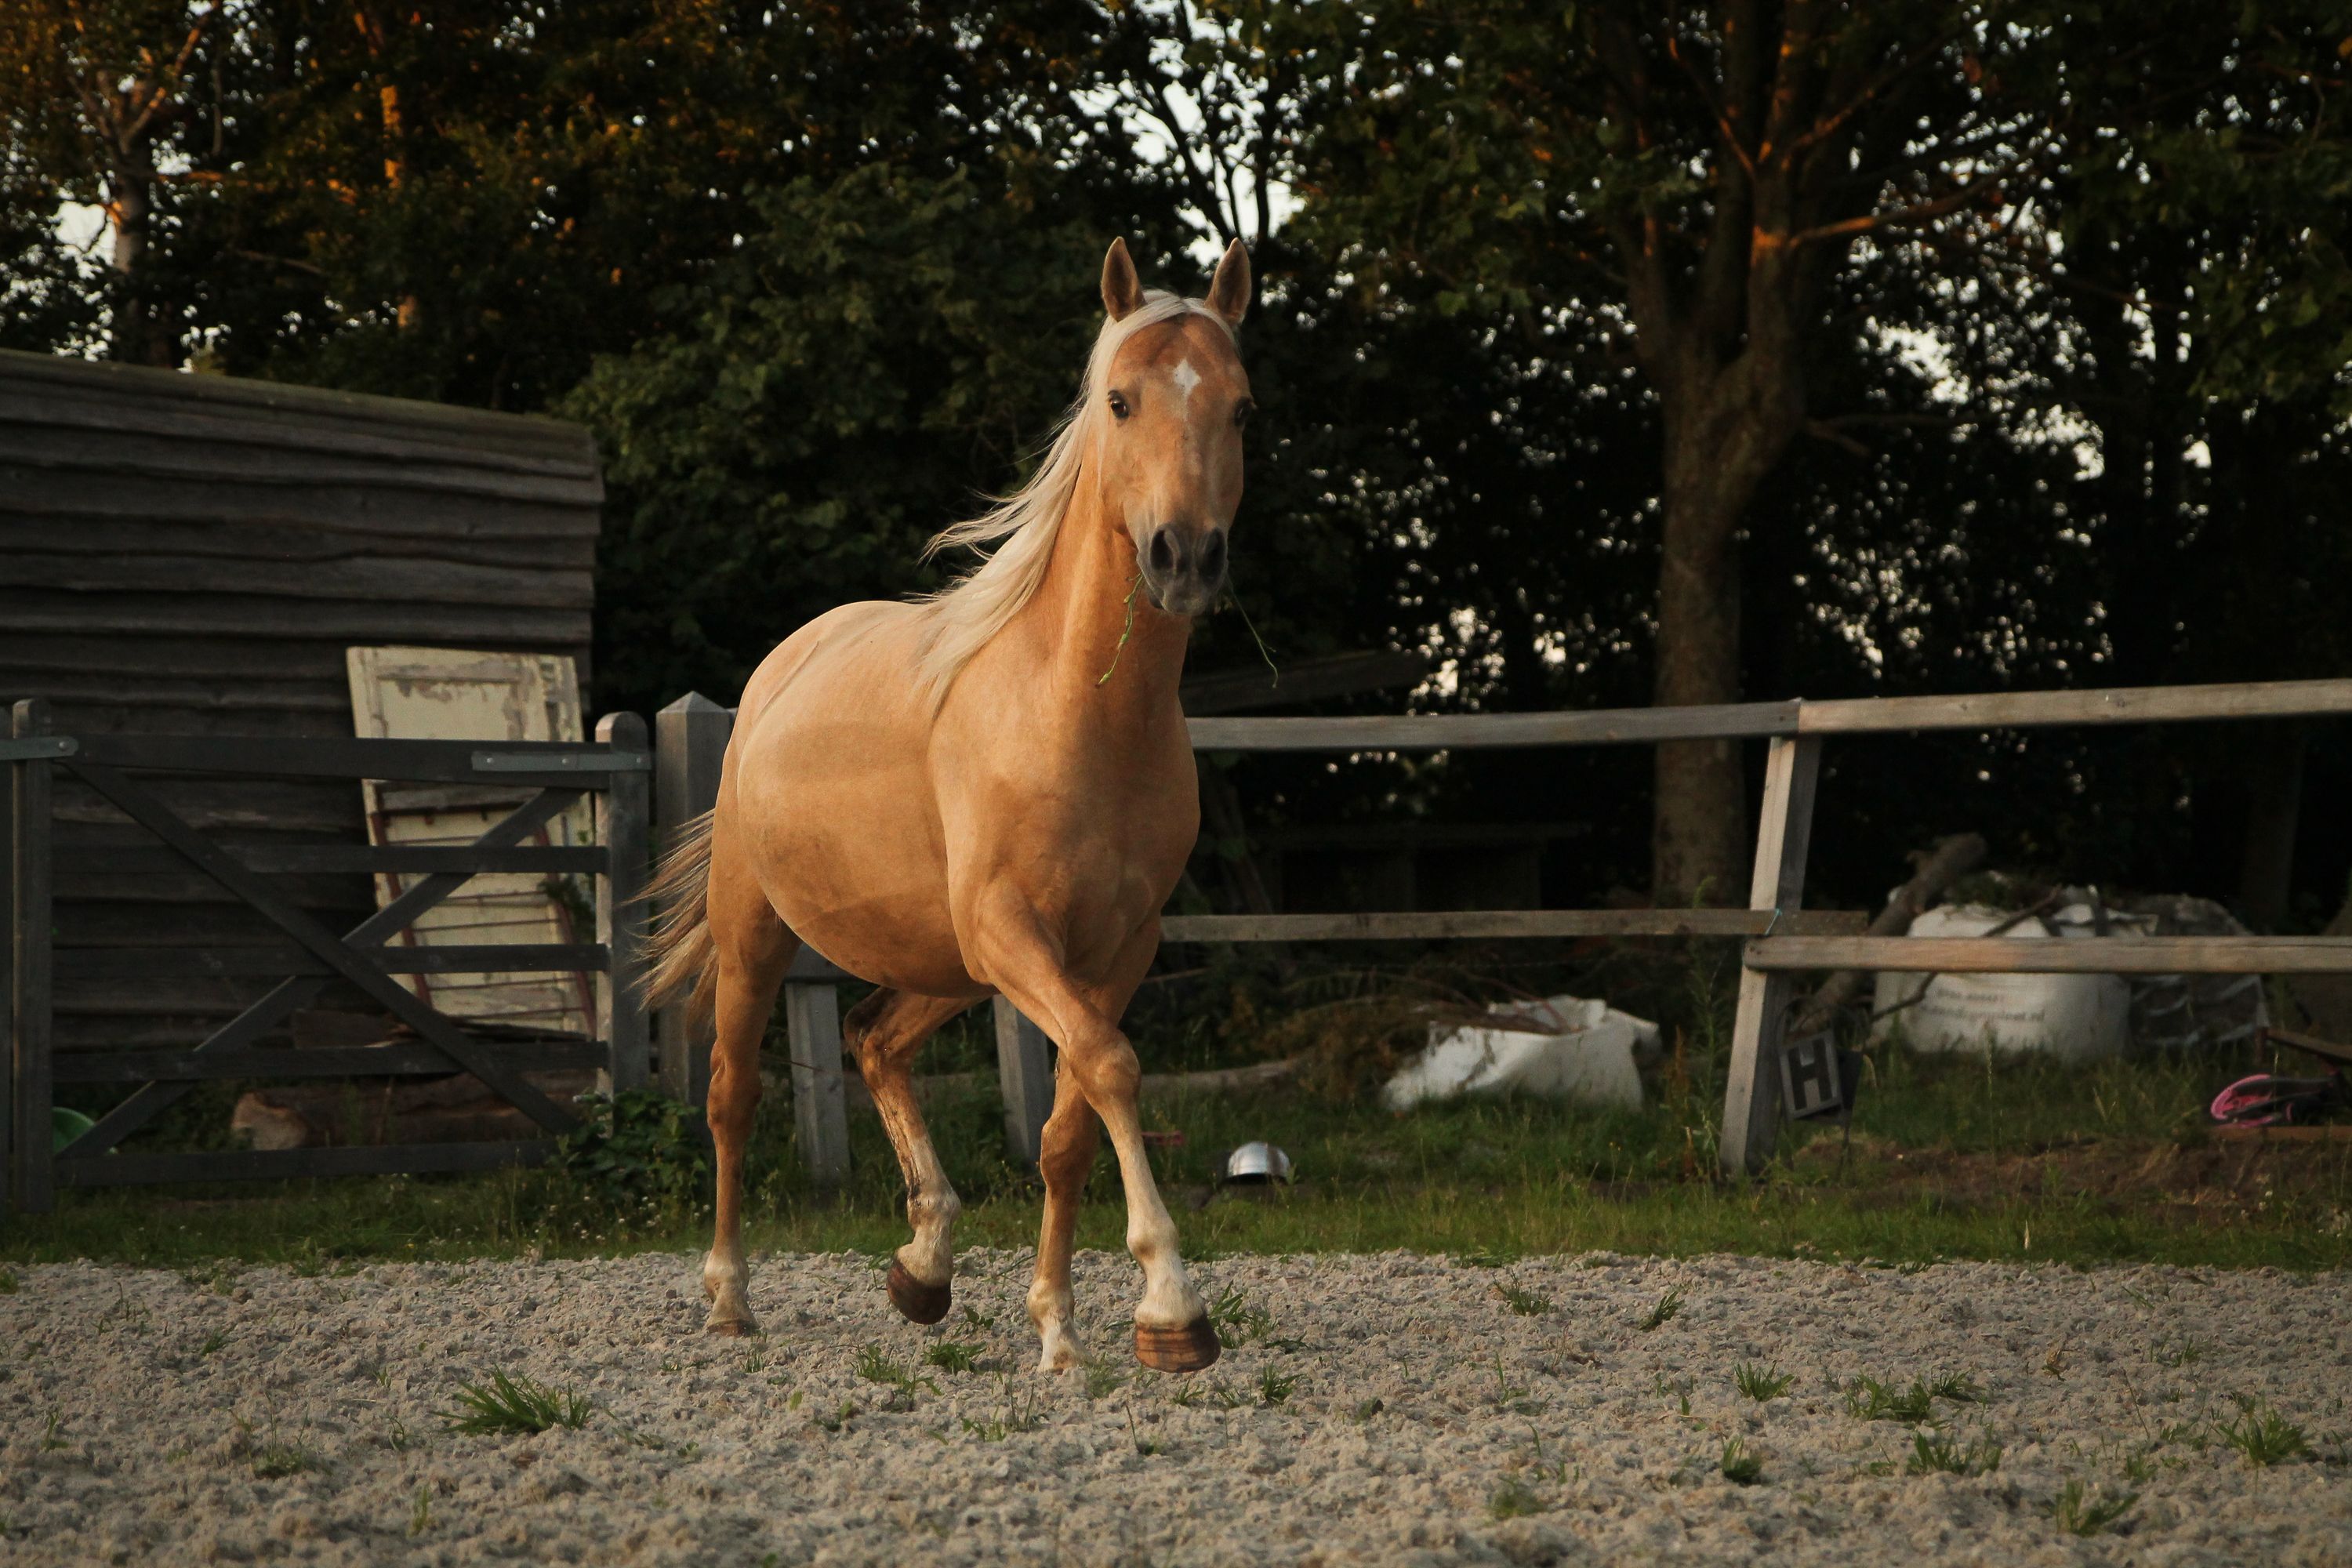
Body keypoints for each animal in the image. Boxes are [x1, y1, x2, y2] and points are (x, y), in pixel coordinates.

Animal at [642, 236, 1254, 1373]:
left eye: (1241, 408)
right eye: (1119, 400)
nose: (1184, 557)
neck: (1076, 712)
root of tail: (782, 666)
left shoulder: (1114, 949)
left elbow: (1068, 1125)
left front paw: (1059, 1329)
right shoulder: (1015, 930)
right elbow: (1112, 1068)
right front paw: (1171, 1306)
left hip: (946, 960)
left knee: (876, 1038)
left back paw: (923, 1267)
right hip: (763, 935)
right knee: (733, 1097)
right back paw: (730, 1297)